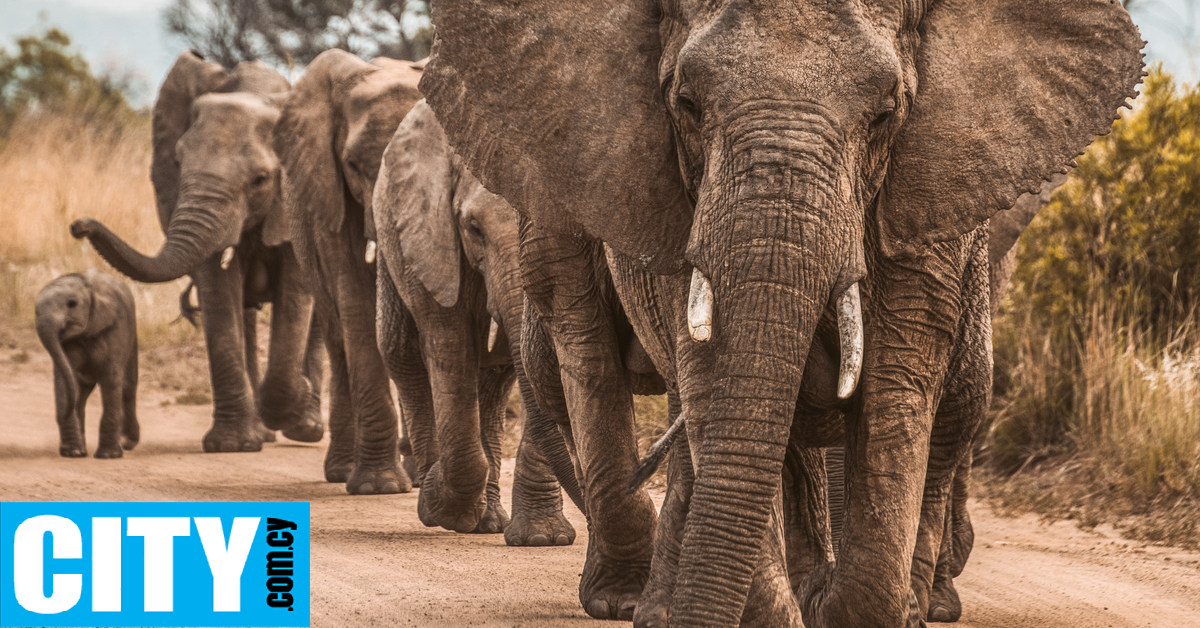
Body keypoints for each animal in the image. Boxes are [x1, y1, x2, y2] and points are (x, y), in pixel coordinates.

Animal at [35, 267, 139, 458]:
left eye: (72, 304)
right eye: (35, 311)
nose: (63, 413)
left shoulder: (116, 327)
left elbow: (111, 378)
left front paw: (108, 456)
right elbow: (64, 378)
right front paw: (73, 453)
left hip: (132, 335)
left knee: (128, 387)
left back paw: (127, 443)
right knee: (81, 393)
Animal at [71, 49, 324, 451]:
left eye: (260, 179)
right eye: (177, 163)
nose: (78, 226)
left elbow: (296, 293)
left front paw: (293, 399)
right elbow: (218, 292)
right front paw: (233, 445)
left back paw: (306, 428)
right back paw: (264, 431)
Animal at [272, 49, 427, 497]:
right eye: (354, 165)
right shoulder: (329, 191)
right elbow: (356, 299)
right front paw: (379, 487)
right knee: (338, 336)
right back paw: (344, 471)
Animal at [372, 100, 583, 542]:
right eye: (473, 229)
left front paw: (543, 539)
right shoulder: (433, 237)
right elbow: (449, 346)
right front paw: (439, 505)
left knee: (495, 381)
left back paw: (486, 522)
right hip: (391, 241)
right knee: (403, 355)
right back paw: (437, 500)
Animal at [417, 0, 1137, 624]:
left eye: (886, 113)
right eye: (685, 104)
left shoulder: (931, 195)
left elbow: (899, 385)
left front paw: (868, 606)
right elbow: (715, 378)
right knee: (590, 347)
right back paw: (633, 601)